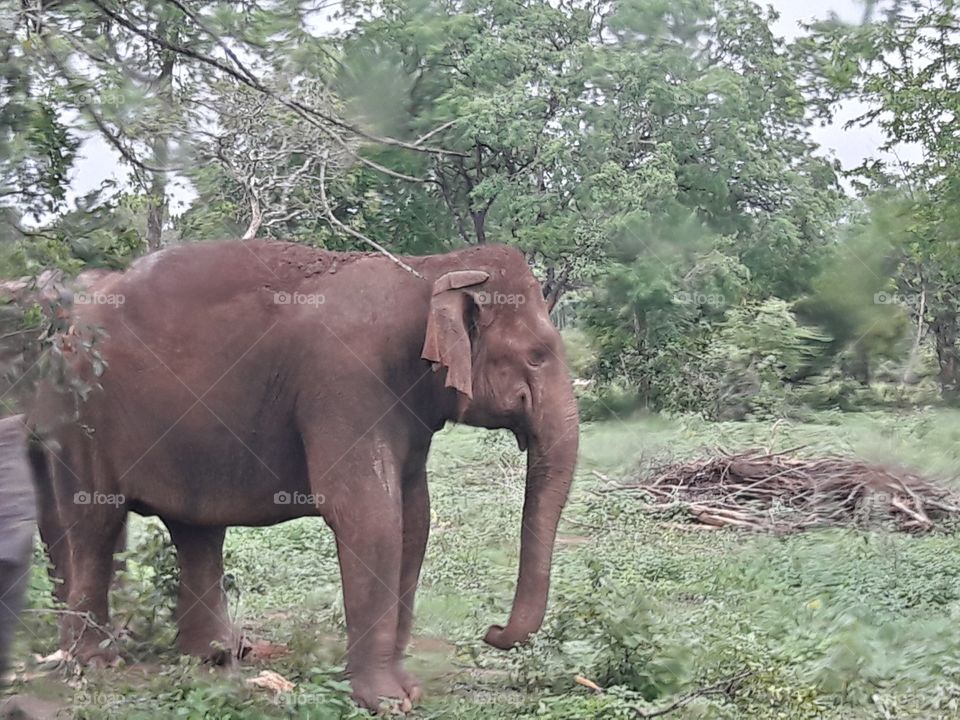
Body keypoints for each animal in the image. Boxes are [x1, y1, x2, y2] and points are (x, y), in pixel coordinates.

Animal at [28, 240, 580, 711]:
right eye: (537, 356)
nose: (491, 631)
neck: (428, 268)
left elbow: (414, 518)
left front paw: (409, 692)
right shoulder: (347, 383)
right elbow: (370, 516)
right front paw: (385, 702)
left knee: (195, 528)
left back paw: (216, 655)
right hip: (79, 413)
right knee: (96, 524)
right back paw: (94, 662)